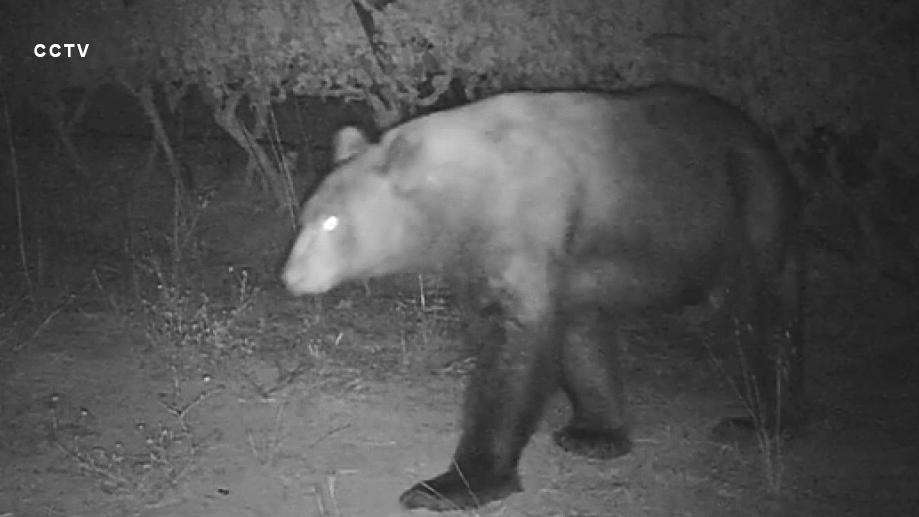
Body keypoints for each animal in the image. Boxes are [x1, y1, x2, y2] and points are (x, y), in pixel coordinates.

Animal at [282, 82, 804, 510]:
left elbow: (516, 348)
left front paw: (455, 484)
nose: (292, 275)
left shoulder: (524, 225)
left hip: (748, 209)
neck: (463, 191)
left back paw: (760, 420)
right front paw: (595, 432)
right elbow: (578, 335)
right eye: (305, 216)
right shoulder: (556, 259)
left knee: (758, 312)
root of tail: (762, 139)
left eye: (333, 223)